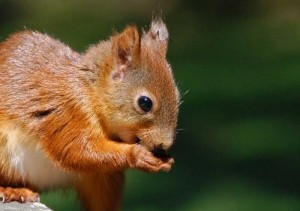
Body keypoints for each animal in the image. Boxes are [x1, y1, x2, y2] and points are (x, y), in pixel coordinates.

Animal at [0, 19, 179, 210]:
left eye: (177, 96)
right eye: (145, 103)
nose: (165, 144)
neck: (91, 92)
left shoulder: (100, 176)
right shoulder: (69, 112)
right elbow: (76, 149)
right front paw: (137, 155)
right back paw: (11, 190)